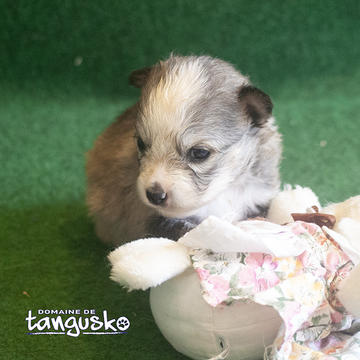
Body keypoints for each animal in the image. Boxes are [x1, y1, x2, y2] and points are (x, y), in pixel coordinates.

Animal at [86, 54, 282, 245]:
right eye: (141, 143)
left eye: (200, 153)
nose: (154, 195)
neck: (224, 190)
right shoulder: (157, 221)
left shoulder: (258, 199)